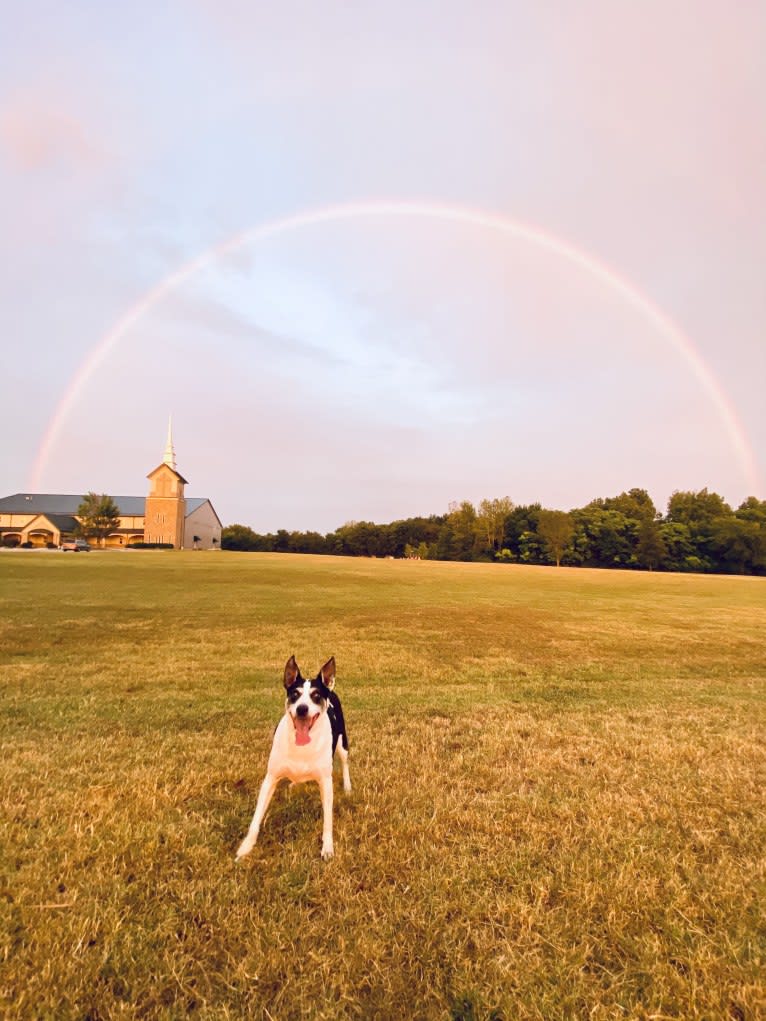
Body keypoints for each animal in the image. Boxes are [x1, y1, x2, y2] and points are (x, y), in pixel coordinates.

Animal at [235, 653, 353, 861]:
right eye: (295, 694)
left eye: (316, 696)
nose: (302, 709)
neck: (302, 746)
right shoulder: (270, 778)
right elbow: (256, 817)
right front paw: (246, 847)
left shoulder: (325, 782)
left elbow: (327, 820)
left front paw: (327, 848)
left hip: (342, 743)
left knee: (345, 762)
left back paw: (347, 786)